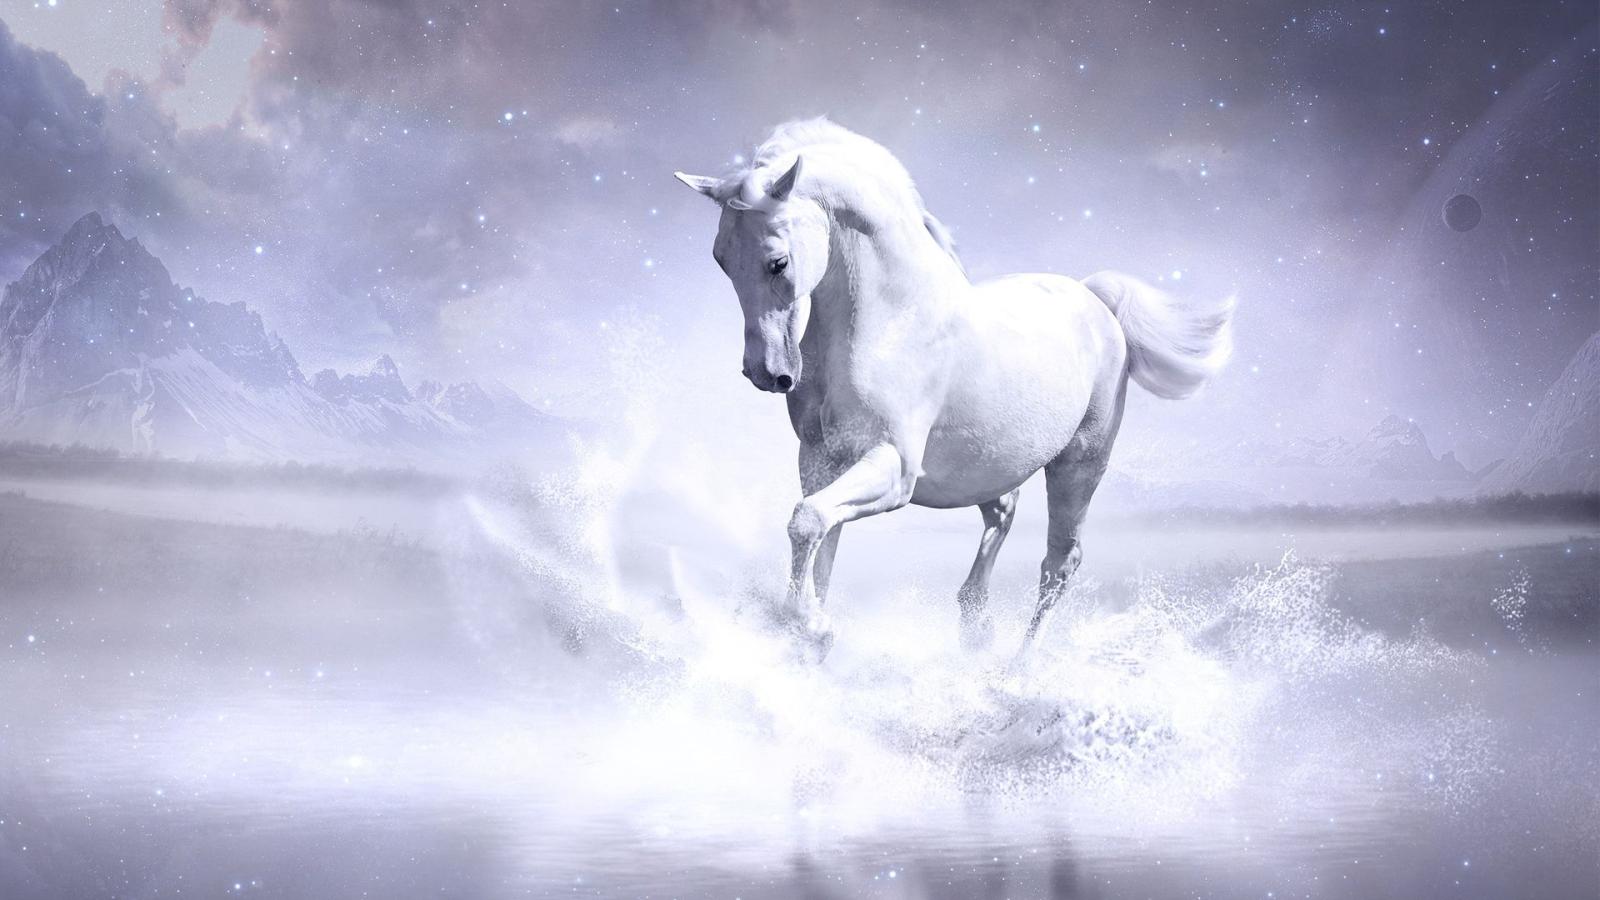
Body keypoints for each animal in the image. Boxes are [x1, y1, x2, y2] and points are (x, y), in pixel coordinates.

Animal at [675, 118, 1234, 662]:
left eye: (778, 262)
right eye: (721, 259)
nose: (767, 373)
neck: (890, 321)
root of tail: (1095, 300)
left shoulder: (894, 468)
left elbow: (807, 522)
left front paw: (812, 627)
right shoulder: (820, 460)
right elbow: (821, 541)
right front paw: (808, 637)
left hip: (1080, 464)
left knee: (1059, 563)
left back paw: (1017, 669)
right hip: (986, 465)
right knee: (1004, 513)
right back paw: (975, 625)